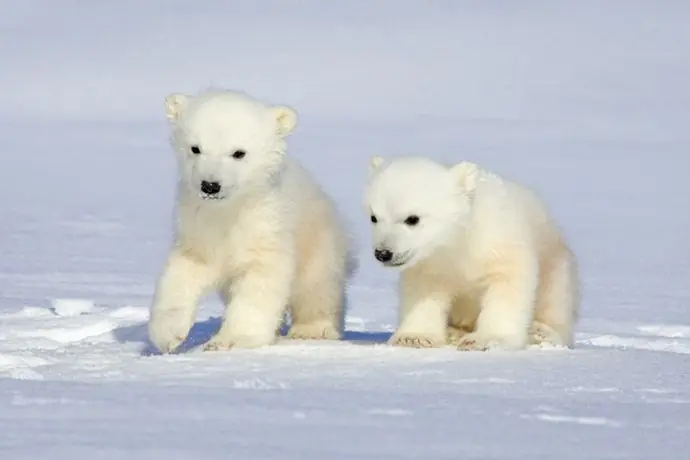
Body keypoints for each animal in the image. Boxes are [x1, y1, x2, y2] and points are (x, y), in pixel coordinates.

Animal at [148, 89, 354, 354]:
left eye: (239, 153)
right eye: (195, 148)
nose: (210, 185)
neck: (228, 211)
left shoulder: (265, 228)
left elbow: (259, 282)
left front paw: (228, 340)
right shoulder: (197, 227)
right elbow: (182, 272)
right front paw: (168, 334)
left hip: (318, 238)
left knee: (318, 285)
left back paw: (313, 330)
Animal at [364, 155, 579, 351]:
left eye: (412, 218)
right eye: (374, 217)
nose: (383, 253)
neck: (460, 242)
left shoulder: (499, 243)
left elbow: (507, 285)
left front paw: (485, 340)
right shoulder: (430, 263)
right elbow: (423, 291)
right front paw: (413, 338)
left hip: (556, 266)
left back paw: (540, 333)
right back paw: (453, 332)